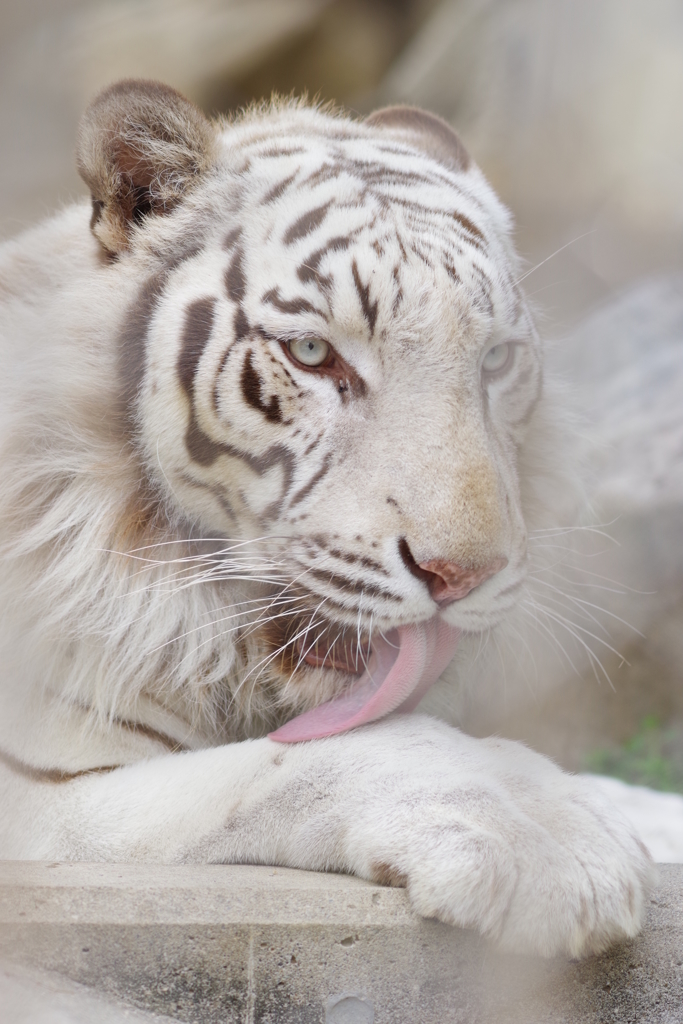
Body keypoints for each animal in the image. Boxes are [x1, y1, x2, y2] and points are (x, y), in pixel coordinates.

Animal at [0, 81, 651, 958]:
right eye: (312, 354)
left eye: (495, 361)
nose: (461, 575)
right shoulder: (45, 799)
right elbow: (332, 753)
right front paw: (548, 848)